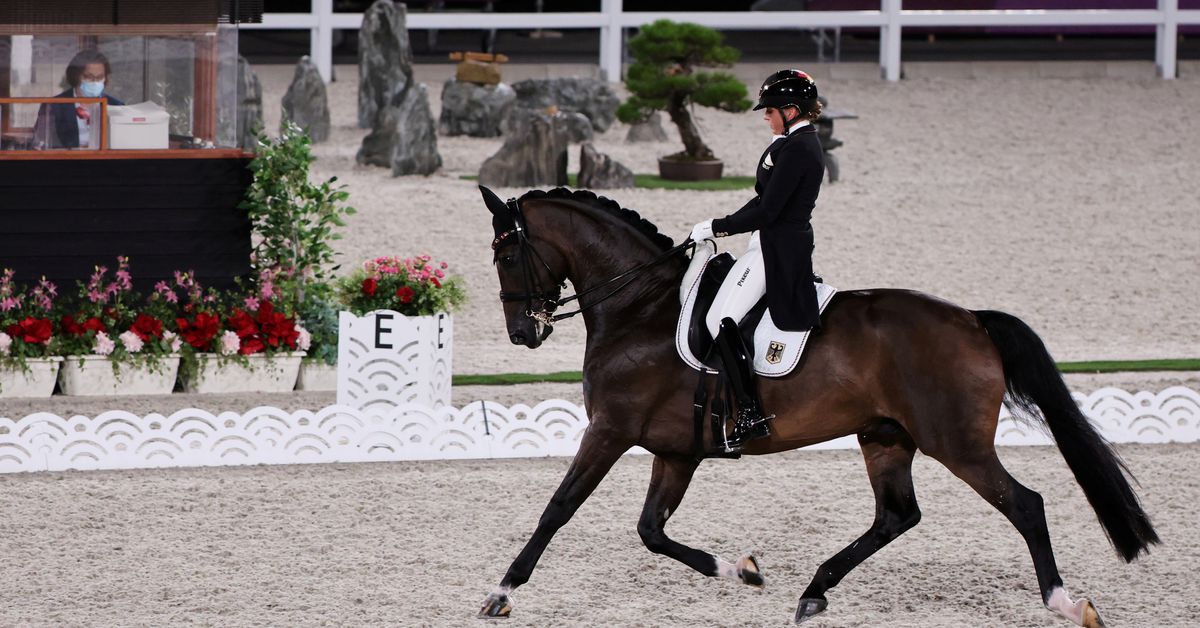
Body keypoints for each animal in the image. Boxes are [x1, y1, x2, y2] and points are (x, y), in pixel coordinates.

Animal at [472, 188, 1156, 628]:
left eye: (505, 254)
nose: (522, 333)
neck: (640, 306)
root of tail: (972, 320)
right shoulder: (676, 450)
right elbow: (651, 531)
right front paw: (743, 571)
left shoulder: (610, 430)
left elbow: (558, 509)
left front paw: (501, 593)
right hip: (885, 436)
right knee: (896, 516)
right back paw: (812, 593)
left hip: (956, 443)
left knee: (1024, 505)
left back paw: (1067, 603)